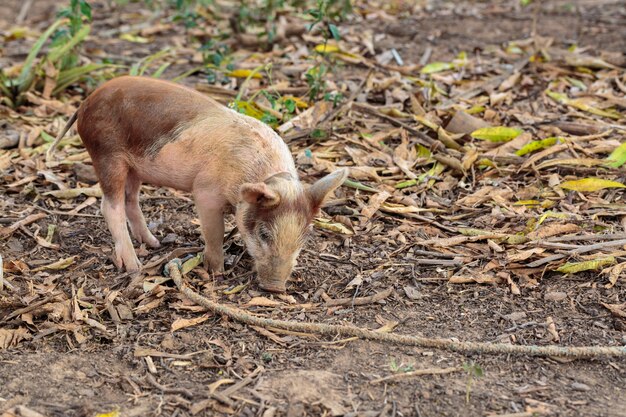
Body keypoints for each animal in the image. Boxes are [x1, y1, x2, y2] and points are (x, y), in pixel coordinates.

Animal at [48, 75, 346, 292]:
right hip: (107, 154)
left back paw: (155, 243)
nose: (275, 288)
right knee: (110, 206)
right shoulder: (205, 192)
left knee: (130, 200)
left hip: (134, 166)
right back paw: (133, 267)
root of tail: (85, 102)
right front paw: (217, 272)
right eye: (263, 233)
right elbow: (213, 233)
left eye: (304, 236)